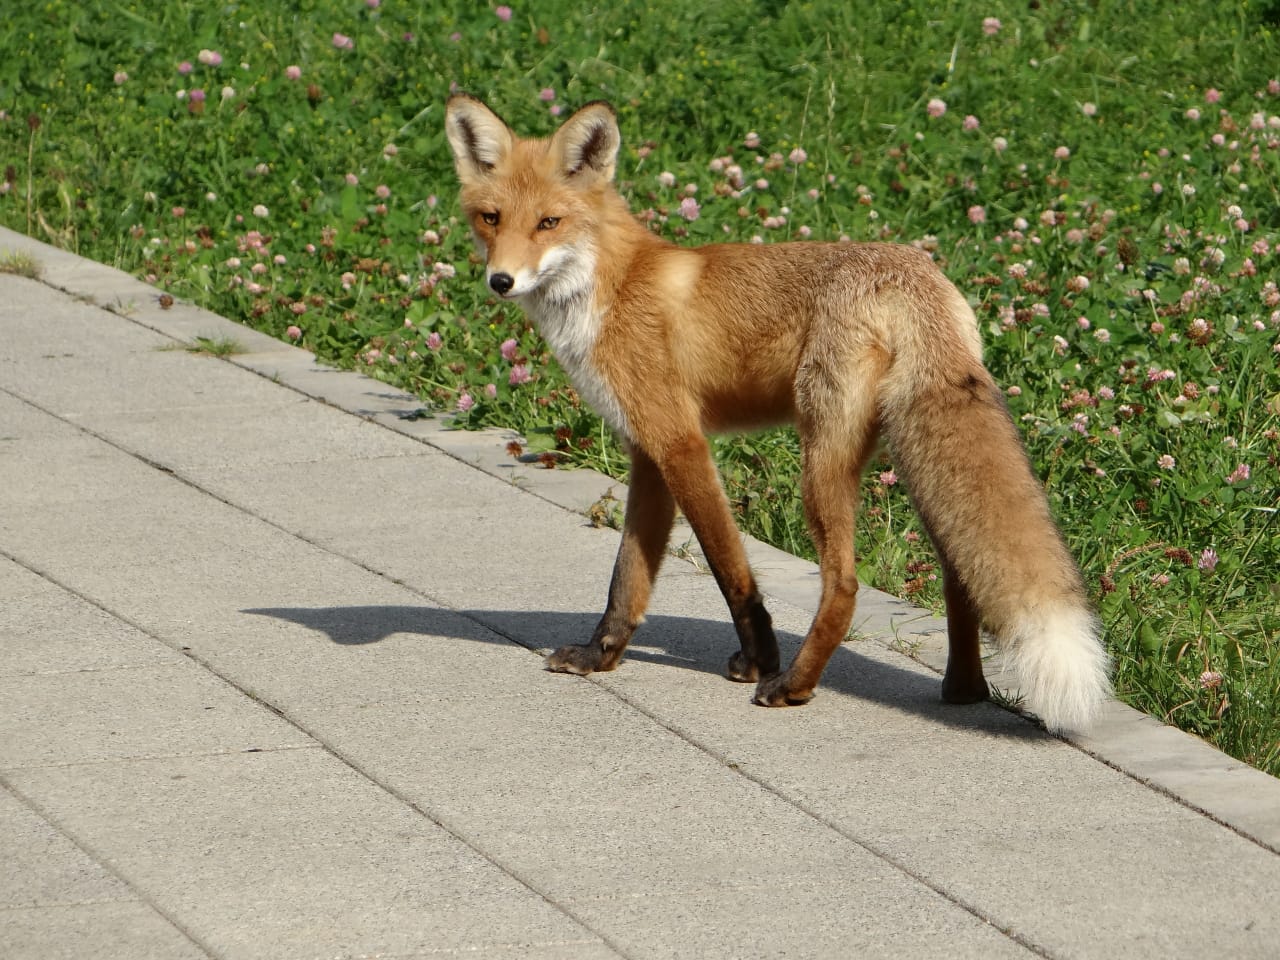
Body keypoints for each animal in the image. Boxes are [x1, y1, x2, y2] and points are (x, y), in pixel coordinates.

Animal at [442, 94, 1111, 732]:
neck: (611, 287)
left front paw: (759, 658)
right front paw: (599, 655)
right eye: (491, 218)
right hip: (916, 463)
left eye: (549, 223)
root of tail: (912, 274)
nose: (500, 280)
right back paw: (964, 690)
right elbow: (627, 579)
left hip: (821, 464)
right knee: (959, 573)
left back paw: (793, 685)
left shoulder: (680, 443)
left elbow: (729, 567)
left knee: (844, 585)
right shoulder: (648, 451)